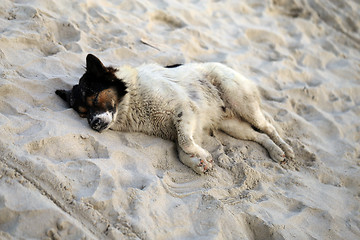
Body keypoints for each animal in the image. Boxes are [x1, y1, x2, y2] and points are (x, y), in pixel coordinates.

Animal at [55, 54, 292, 174]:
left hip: (241, 102)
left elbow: (185, 144)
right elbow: (182, 149)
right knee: (258, 136)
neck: (132, 100)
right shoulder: (187, 126)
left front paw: (203, 156)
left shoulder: (184, 110)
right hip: (231, 125)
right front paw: (198, 163)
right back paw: (275, 152)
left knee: (268, 127)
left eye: (95, 98)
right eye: (82, 113)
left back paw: (286, 149)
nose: (93, 124)